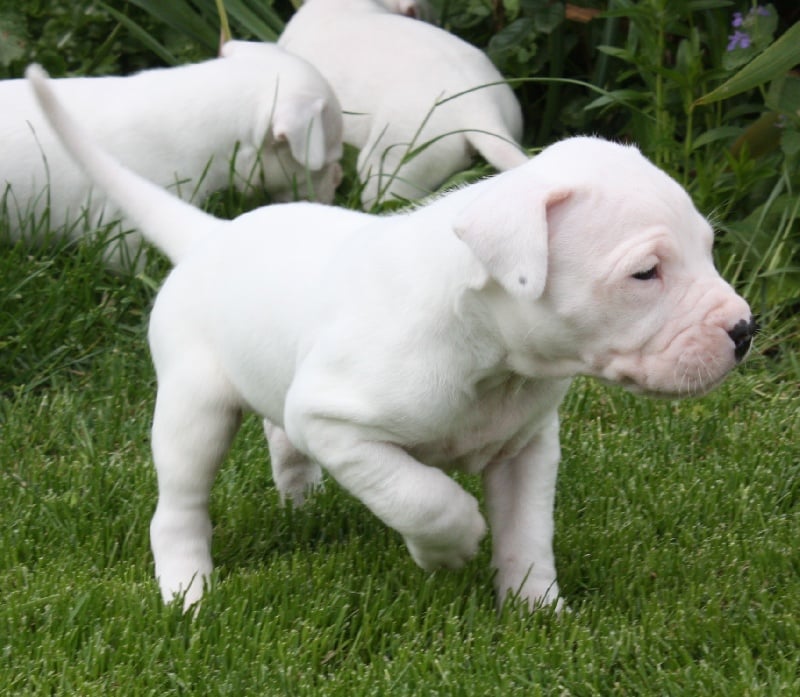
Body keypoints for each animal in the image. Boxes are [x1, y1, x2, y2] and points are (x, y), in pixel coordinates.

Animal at [29, 64, 756, 608]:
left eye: (707, 248)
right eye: (645, 272)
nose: (746, 330)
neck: (489, 350)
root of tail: (210, 236)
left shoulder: (527, 448)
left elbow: (527, 530)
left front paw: (537, 608)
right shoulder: (337, 423)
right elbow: (422, 495)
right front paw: (451, 544)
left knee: (281, 442)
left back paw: (302, 506)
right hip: (194, 404)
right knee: (181, 499)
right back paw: (188, 589)